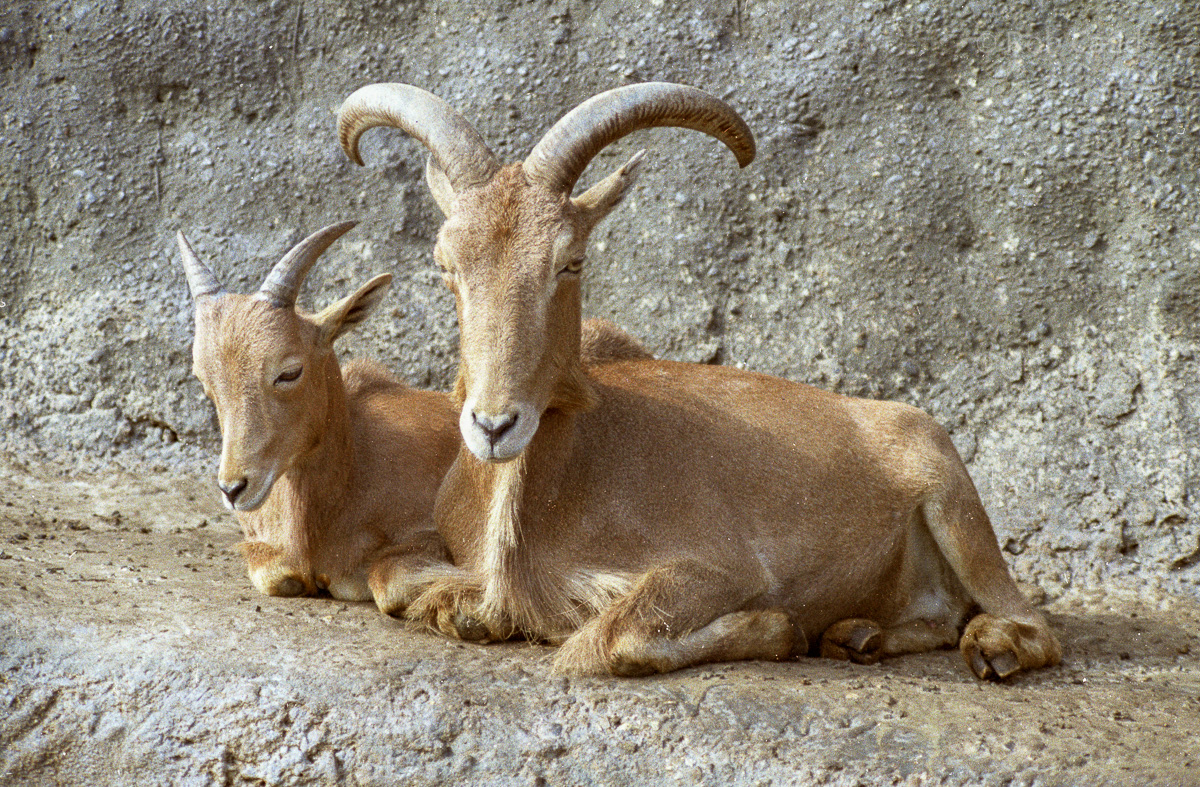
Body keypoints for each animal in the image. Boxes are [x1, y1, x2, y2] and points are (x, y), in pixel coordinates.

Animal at [337, 82, 1061, 680]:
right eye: (446, 263)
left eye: (570, 261)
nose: (494, 425)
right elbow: (392, 580)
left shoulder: (716, 567)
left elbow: (612, 638)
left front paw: (778, 626)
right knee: (938, 615)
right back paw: (858, 635)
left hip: (949, 492)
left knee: (1027, 624)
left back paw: (987, 648)